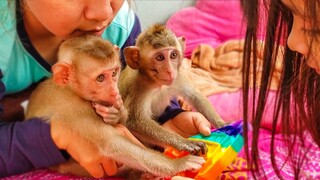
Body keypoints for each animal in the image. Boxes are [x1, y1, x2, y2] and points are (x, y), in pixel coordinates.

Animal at [25, 34, 205, 178]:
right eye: (100, 78)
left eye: (113, 73)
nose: (113, 90)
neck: (71, 90)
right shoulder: (74, 107)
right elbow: (113, 144)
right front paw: (179, 164)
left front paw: (117, 113)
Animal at [119, 23, 226, 155]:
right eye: (160, 57)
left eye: (173, 55)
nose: (170, 70)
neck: (157, 84)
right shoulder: (137, 88)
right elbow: (135, 121)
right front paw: (185, 142)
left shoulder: (178, 76)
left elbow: (194, 95)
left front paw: (221, 124)